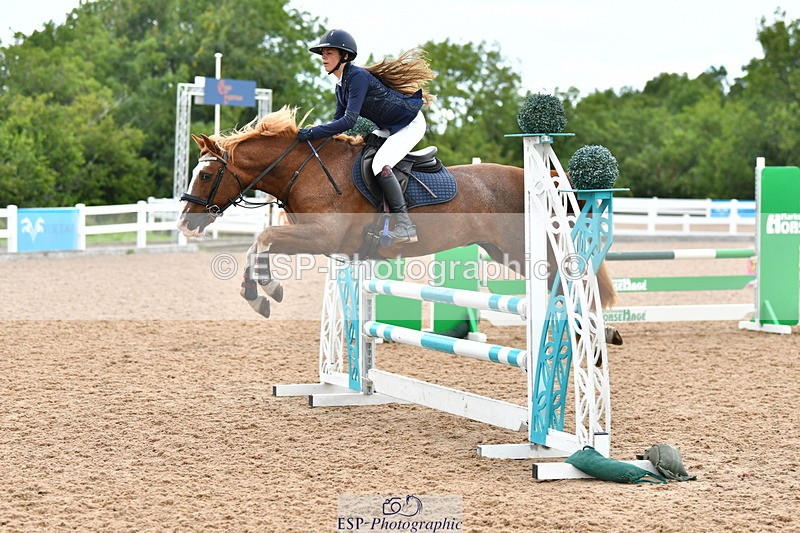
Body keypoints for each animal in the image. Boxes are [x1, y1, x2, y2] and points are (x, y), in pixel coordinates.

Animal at [177, 107, 620, 340]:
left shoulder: (321, 237)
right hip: (504, 252)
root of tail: (539, 179)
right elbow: (257, 246)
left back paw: (595, 334)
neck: (307, 172)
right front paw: (256, 294)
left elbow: (264, 237)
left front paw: (269, 289)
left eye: (205, 174)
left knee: (571, 279)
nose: (185, 224)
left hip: (527, 250)